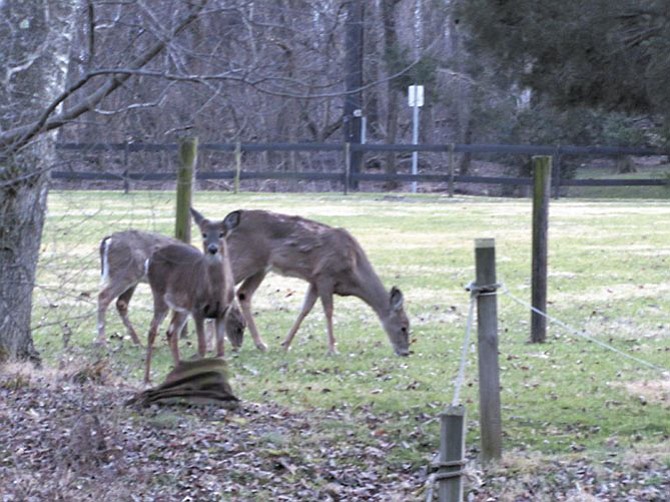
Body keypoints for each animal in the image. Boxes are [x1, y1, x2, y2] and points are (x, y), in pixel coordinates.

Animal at [143, 210, 243, 382]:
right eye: (204, 234)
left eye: (222, 234)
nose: (212, 248)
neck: (217, 293)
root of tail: (150, 258)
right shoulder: (197, 309)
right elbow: (202, 347)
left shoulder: (222, 311)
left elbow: (220, 350)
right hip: (159, 294)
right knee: (152, 331)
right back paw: (147, 377)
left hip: (182, 307)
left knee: (171, 332)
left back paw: (177, 372)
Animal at [228, 208, 412, 356]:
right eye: (404, 326)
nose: (405, 352)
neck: (354, 271)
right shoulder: (325, 275)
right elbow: (328, 311)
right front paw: (332, 349)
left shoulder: (314, 280)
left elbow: (305, 309)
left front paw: (285, 345)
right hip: (246, 258)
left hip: (260, 267)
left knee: (243, 293)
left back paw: (259, 344)